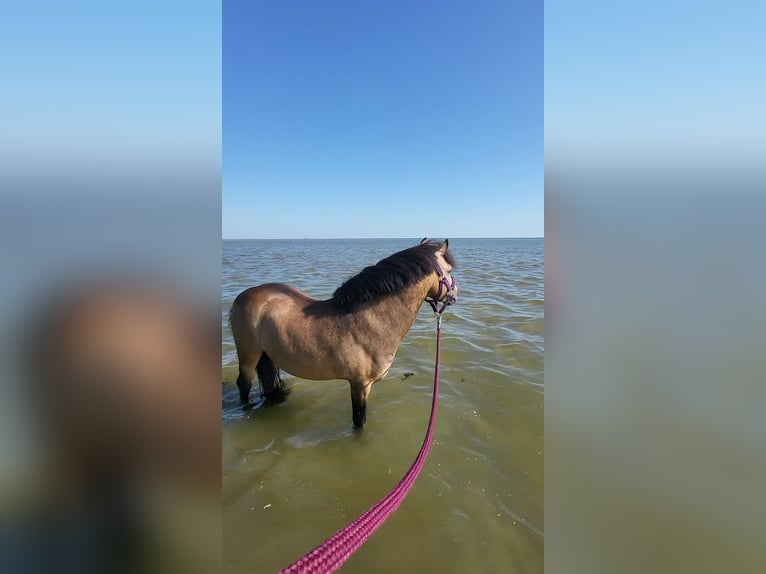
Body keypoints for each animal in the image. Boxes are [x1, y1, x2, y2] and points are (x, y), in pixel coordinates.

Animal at [228, 238, 458, 428]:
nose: (455, 294)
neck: (372, 320)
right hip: (248, 356)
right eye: (449, 270)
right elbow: (359, 420)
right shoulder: (359, 384)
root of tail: (242, 296)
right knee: (243, 384)